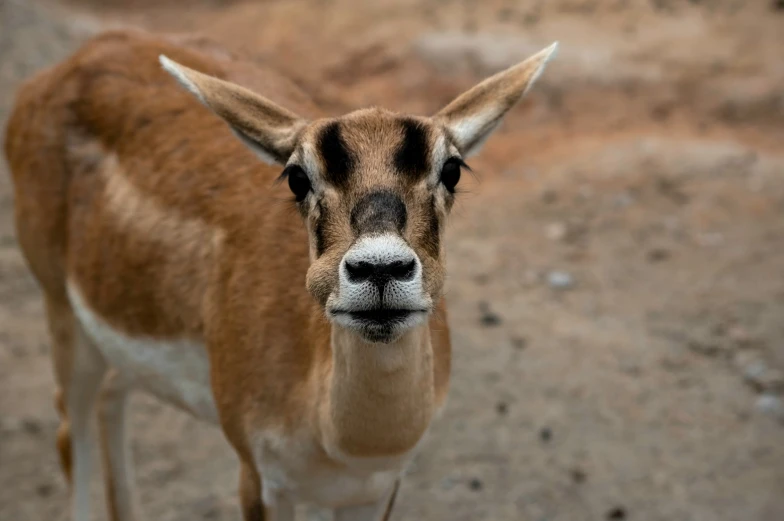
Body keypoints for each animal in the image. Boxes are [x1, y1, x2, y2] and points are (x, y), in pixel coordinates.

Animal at [4, 27, 556, 520]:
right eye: (296, 176)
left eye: (452, 170)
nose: (380, 268)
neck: (342, 442)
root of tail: (61, 69)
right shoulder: (258, 475)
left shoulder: (374, 490)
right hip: (60, 308)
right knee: (69, 430)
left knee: (111, 396)